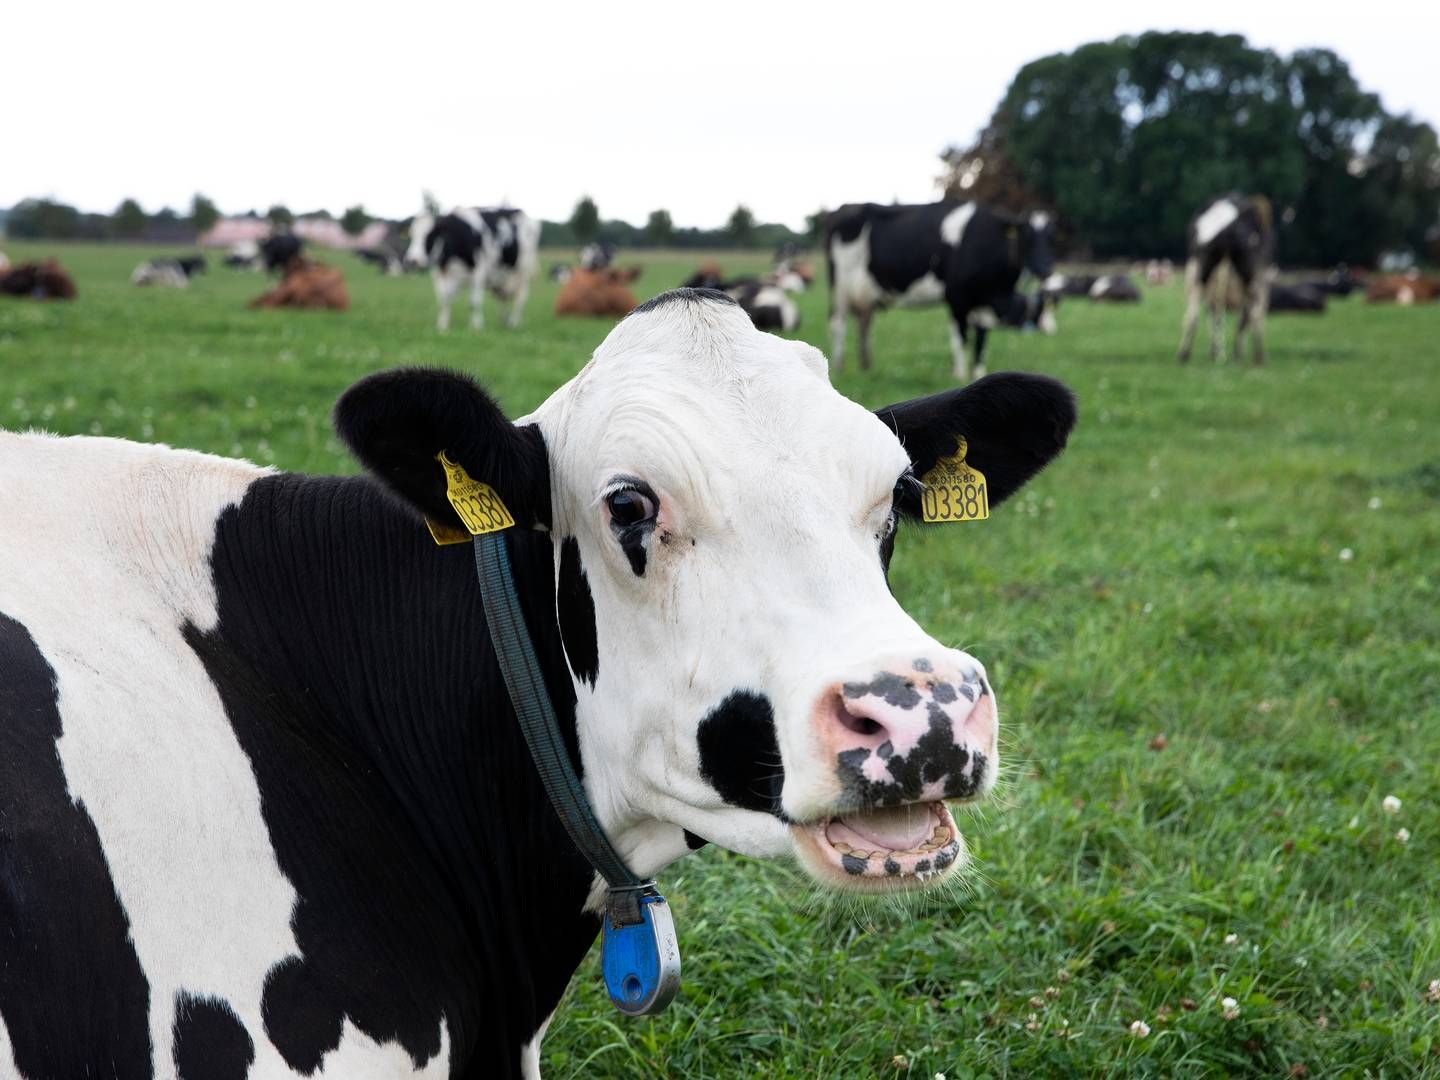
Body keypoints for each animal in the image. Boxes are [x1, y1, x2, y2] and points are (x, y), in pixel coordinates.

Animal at [406, 207, 541, 332]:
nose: (413, 261)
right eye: (411, 236)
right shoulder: (439, 275)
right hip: (501, 279)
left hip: (522, 272)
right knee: (503, 298)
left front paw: (476, 327)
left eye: (430, 235)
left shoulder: (479, 272)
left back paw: (514, 323)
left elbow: (474, 302)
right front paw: (443, 326)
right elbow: (444, 300)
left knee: (520, 298)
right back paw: (505, 322)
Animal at [823, 201, 1059, 383]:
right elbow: (961, 339)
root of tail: (844, 208)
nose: (1045, 268)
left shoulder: (981, 302)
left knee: (864, 325)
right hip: (840, 287)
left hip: (865, 294)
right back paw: (839, 369)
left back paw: (866, 368)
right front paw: (960, 375)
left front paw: (978, 373)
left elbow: (981, 340)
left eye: (1051, 238)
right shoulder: (957, 298)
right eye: (1026, 235)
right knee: (837, 324)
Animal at [1175, 192, 1278, 364]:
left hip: (1198, 271)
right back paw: (1257, 357)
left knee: (1194, 313)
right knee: (1254, 312)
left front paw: (1218, 353)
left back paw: (1186, 354)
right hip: (1253, 276)